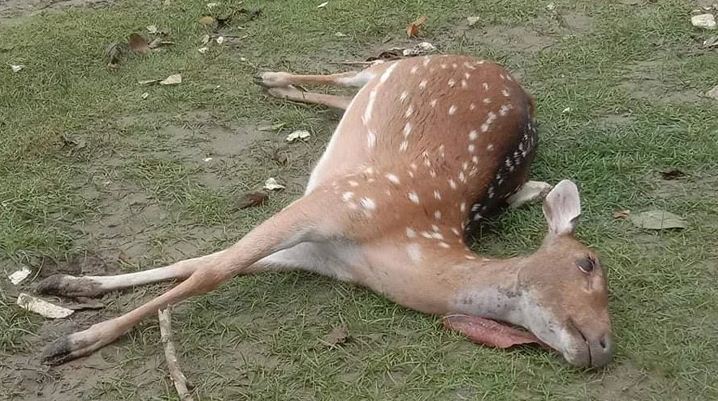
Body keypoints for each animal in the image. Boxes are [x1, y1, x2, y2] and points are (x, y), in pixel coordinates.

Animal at [36, 54, 616, 368]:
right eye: (588, 263)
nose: (605, 345)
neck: (391, 248)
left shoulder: (317, 253)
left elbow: (199, 264)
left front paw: (69, 286)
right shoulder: (330, 203)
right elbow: (210, 271)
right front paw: (74, 338)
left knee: (346, 96)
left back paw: (281, 86)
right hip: (403, 66)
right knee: (360, 72)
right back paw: (270, 76)